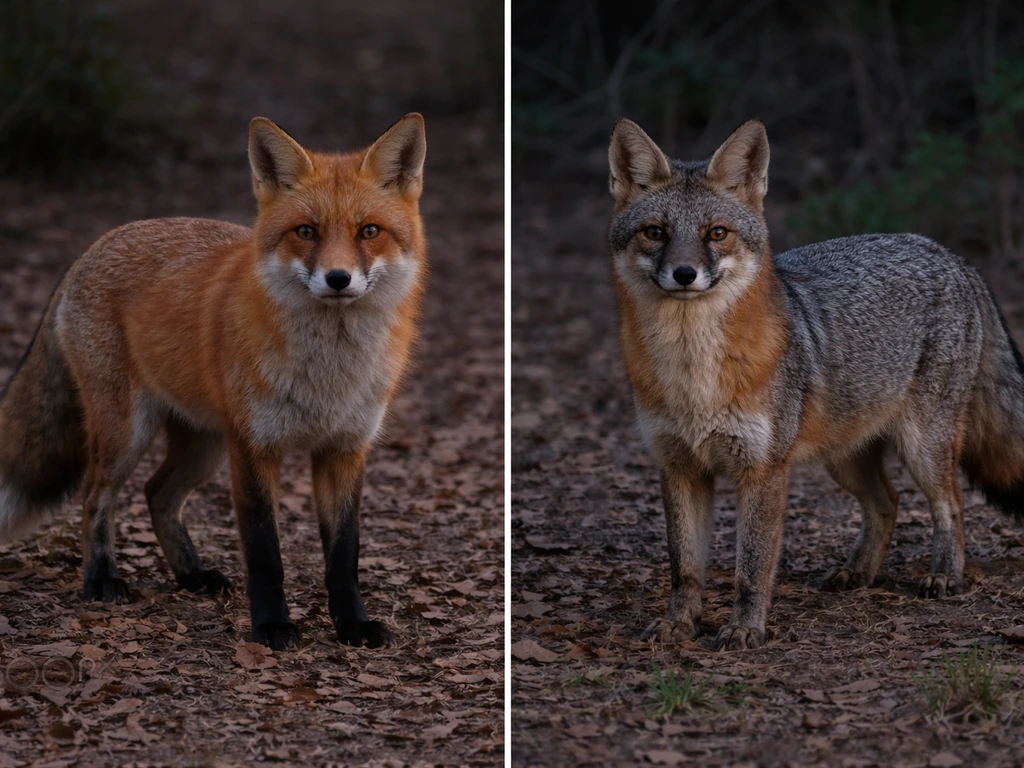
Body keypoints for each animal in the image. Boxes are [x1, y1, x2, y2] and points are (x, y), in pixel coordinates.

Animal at [0, 114, 427, 651]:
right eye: (305, 231)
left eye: (369, 231)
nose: (337, 278)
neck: (328, 376)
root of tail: (93, 247)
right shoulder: (254, 447)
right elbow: (265, 553)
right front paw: (271, 627)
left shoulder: (345, 449)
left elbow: (344, 557)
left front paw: (352, 625)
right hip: (128, 435)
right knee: (96, 496)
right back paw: (100, 579)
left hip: (203, 447)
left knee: (157, 494)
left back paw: (191, 575)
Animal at [607, 118, 1024, 650]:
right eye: (655, 233)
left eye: (716, 233)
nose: (685, 274)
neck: (692, 374)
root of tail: (952, 255)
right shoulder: (678, 465)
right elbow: (684, 567)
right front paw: (679, 622)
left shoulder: (763, 470)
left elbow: (752, 566)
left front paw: (745, 628)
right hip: (843, 458)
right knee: (887, 502)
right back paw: (858, 573)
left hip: (922, 448)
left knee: (950, 505)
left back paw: (945, 575)